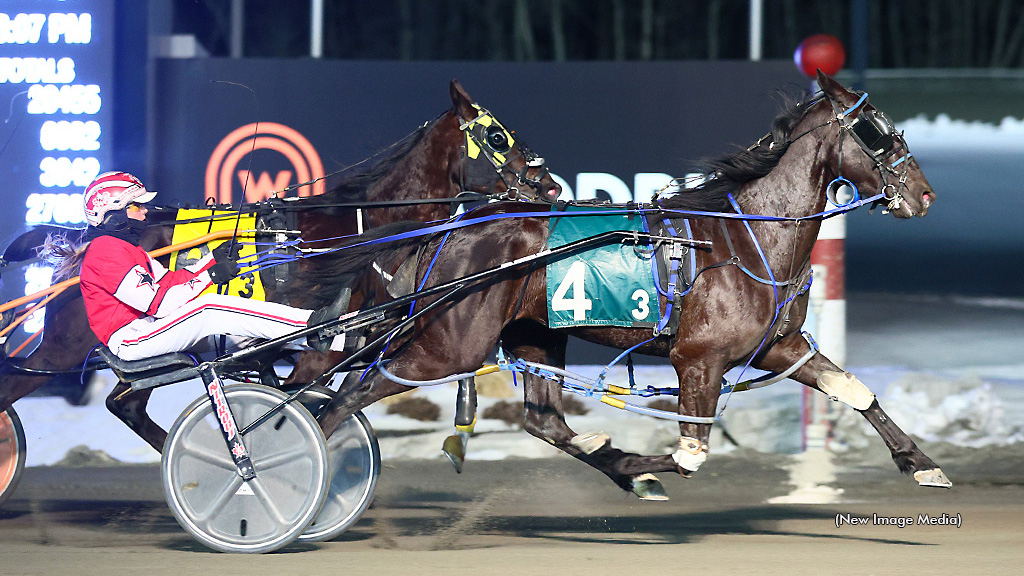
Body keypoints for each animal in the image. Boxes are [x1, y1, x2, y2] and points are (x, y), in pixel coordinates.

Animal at [0, 77, 561, 453]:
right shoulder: (320, 348)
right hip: (66, 346)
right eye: (497, 138)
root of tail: (86, 238)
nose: (551, 185)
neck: (362, 226)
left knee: (125, 402)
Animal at [307, 70, 946, 494]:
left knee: (544, 420)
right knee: (352, 393)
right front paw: (640, 467)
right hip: (449, 344)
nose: (923, 194)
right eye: (874, 131)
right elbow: (689, 455)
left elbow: (854, 390)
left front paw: (922, 463)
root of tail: (453, 227)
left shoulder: (777, 347)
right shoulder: (698, 359)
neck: (747, 238)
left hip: (534, 333)